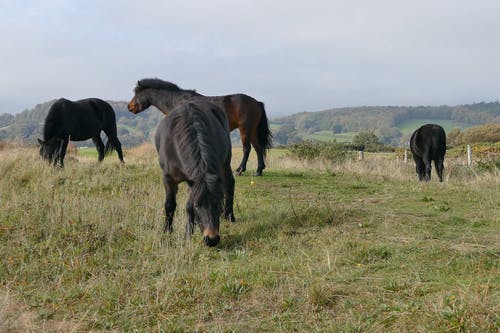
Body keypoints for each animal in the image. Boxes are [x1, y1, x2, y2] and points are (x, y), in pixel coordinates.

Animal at [127, 78, 272, 176]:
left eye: (137, 94)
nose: (129, 107)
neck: (177, 102)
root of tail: (256, 102)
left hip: (245, 129)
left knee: (247, 149)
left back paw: (240, 170)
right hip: (252, 131)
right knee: (258, 148)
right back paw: (259, 170)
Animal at [155, 100, 235, 245]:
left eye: (218, 203)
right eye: (198, 205)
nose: (212, 239)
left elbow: (188, 206)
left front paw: (188, 233)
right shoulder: (169, 178)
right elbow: (170, 205)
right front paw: (168, 231)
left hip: (225, 164)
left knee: (229, 185)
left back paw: (229, 216)